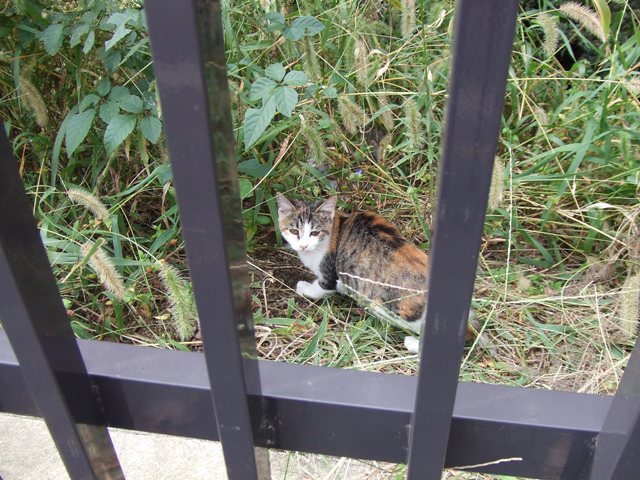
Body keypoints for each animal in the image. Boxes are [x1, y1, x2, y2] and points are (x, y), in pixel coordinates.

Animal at [276, 192, 430, 352]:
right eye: (294, 231)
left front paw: (305, 288)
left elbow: (322, 287)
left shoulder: (330, 272)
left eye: (315, 233)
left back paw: (412, 343)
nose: (303, 246)